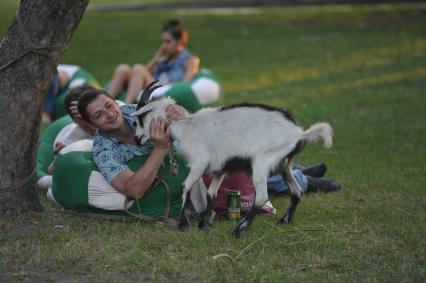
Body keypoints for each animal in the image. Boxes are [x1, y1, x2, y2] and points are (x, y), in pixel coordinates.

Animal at [133, 82, 332, 237]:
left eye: (140, 117)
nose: (136, 139)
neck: (186, 127)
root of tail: (299, 133)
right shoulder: (220, 169)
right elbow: (210, 193)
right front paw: (205, 223)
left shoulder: (199, 163)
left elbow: (186, 186)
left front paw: (184, 223)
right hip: (284, 165)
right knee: (297, 191)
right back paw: (285, 220)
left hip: (261, 163)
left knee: (261, 197)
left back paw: (239, 229)